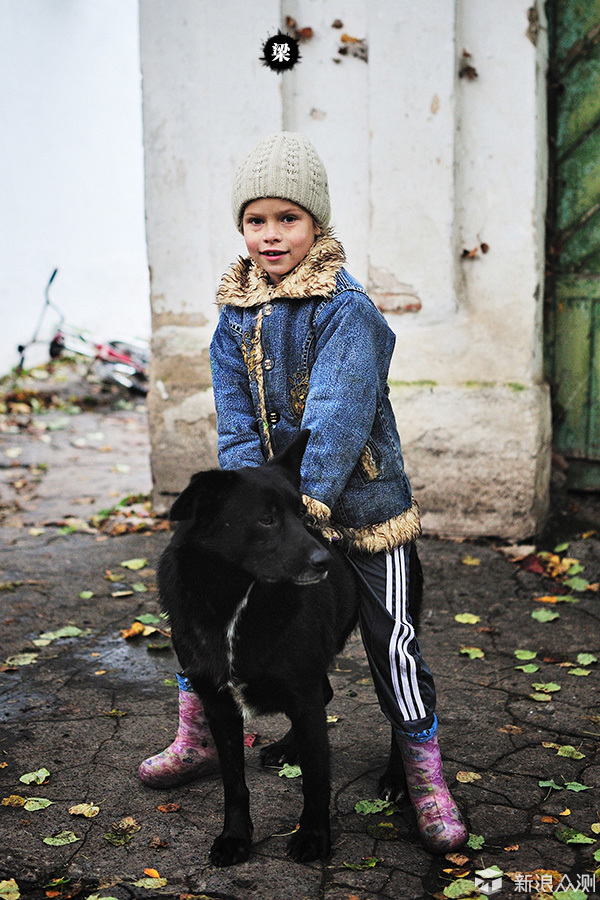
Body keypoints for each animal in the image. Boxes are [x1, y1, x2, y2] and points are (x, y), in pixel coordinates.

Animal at [159, 432, 422, 868]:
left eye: (302, 515)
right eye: (266, 519)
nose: (326, 560)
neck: (237, 602)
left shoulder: (303, 696)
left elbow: (316, 780)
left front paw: (313, 837)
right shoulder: (219, 704)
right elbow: (234, 783)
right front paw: (235, 837)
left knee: (401, 704)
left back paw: (399, 779)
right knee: (328, 692)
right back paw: (287, 747)